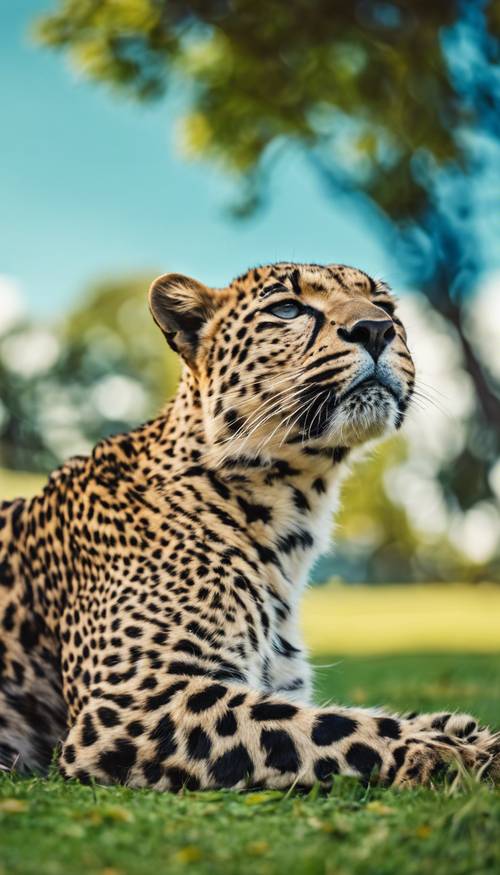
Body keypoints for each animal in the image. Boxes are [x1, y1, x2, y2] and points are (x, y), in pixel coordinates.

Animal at [0, 264, 500, 792]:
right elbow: (331, 726)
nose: (376, 329)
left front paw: (468, 736)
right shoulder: (136, 699)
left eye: (387, 308)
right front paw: (450, 752)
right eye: (287, 308)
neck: (289, 523)